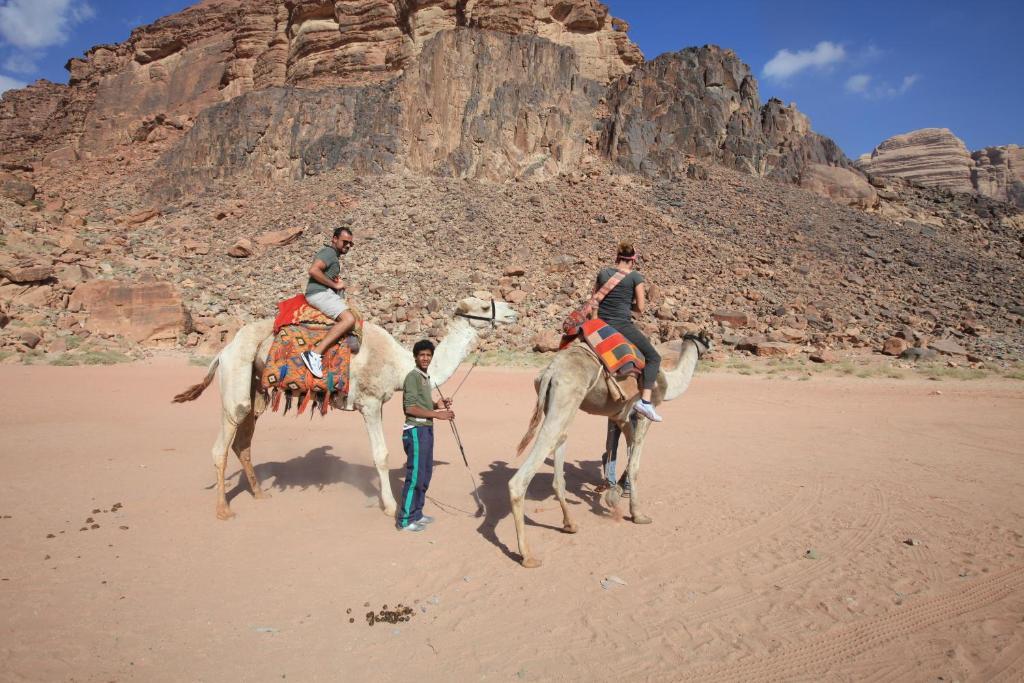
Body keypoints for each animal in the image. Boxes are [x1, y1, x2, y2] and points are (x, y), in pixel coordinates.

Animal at [173, 296, 520, 520]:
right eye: (482, 305)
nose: (513, 314)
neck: (400, 363)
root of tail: (223, 351)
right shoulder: (370, 403)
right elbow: (381, 455)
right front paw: (390, 507)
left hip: (255, 387)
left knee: (243, 442)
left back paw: (259, 494)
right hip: (236, 380)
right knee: (221, 445)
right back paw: (223, 510)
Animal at [505, 331, 712, 565]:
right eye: (706, 339)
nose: (710, 347)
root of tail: (549, 372)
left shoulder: (621, 416)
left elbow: (628, 449)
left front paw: (616, 493)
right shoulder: (644, 413)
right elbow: (635, 463)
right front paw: (637, 514)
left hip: (561, 404)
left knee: (559, 448)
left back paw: (570, 525)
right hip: (565, 397)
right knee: (527, 470)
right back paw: (528, 556)